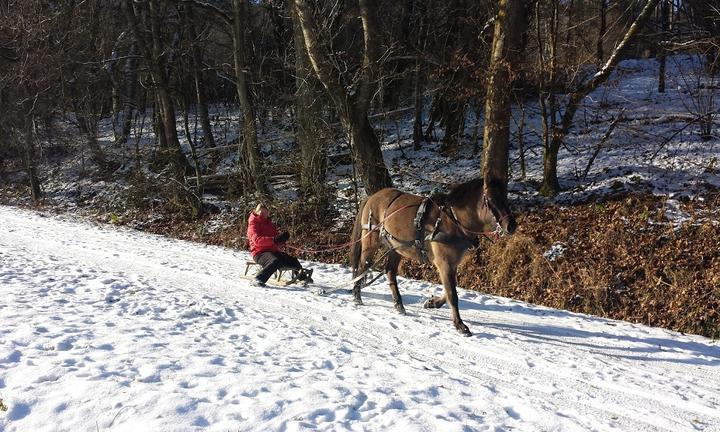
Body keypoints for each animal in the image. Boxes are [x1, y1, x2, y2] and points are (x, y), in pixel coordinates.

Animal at [350, 177, 516, 336]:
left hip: (396, 247)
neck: (453, 221)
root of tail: (372, 197)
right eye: (490, 200)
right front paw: (460, 325)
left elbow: (450, 290)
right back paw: (357, 297)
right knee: (362, 267)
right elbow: (452, 294)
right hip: (370, 242)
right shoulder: (444, 264)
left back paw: (398, 305)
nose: (511, 226)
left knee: (390, 271)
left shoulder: (452, 264)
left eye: (505, 197)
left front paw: (433, 303)